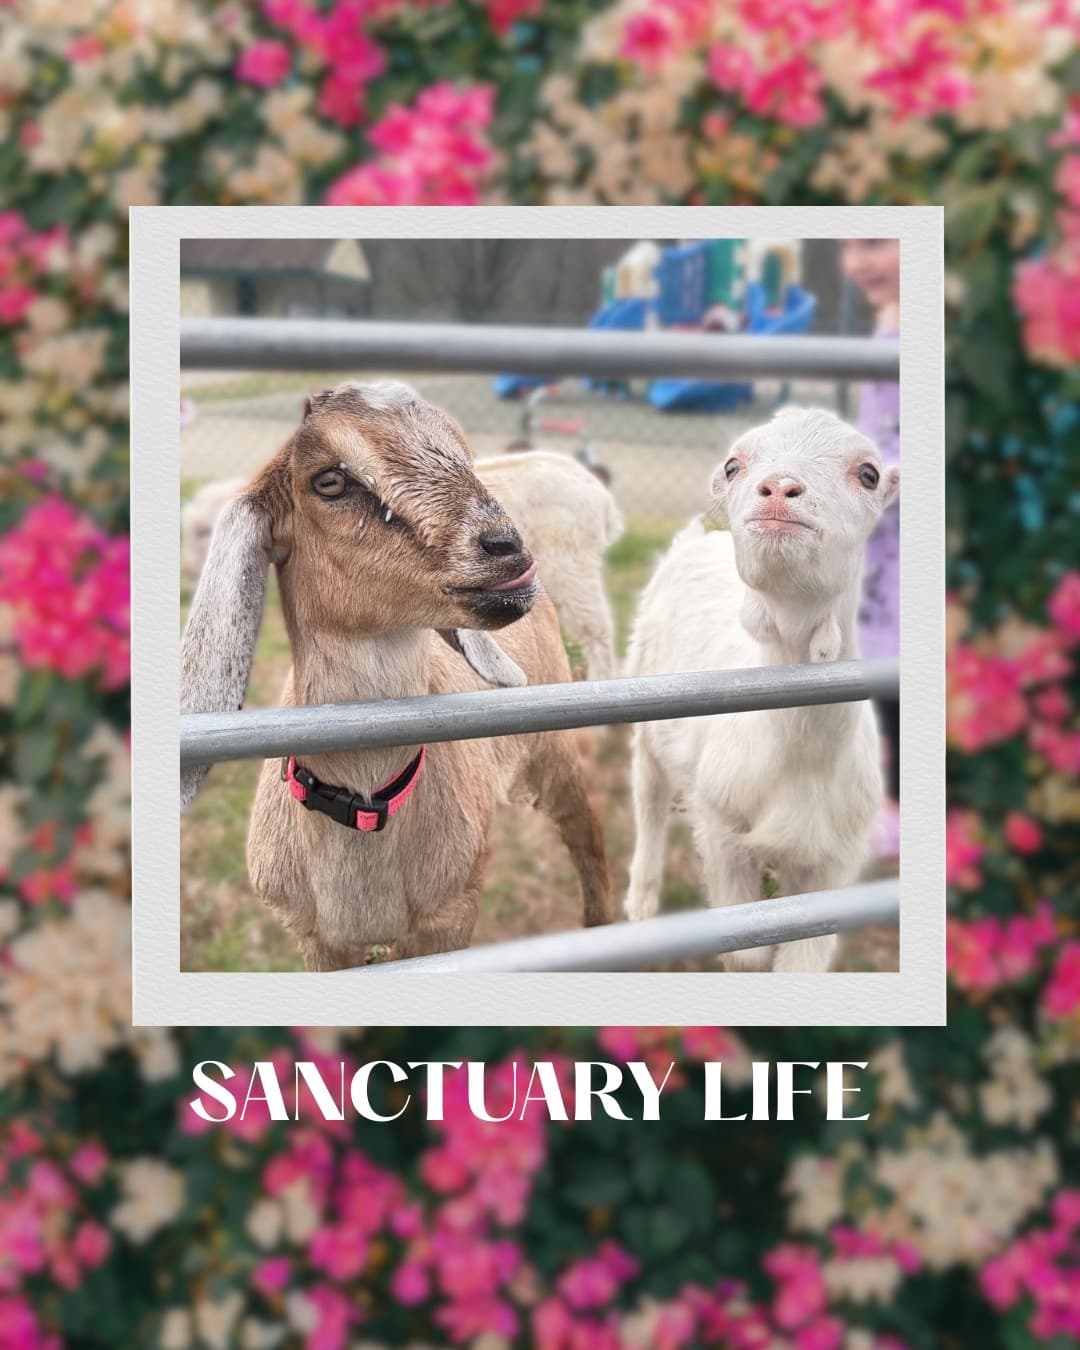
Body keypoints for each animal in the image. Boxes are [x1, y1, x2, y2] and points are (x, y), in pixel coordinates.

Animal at [623, 407, 899, 972]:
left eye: (869, 473)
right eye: (734, 465)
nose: (778, 488)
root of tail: (696, 537)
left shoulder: (834, 862)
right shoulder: (724, 834)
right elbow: (747, 958)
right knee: (648, 797)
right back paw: (640, 901)